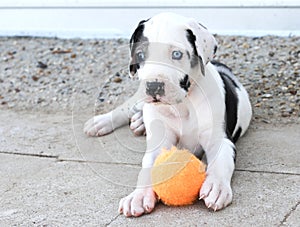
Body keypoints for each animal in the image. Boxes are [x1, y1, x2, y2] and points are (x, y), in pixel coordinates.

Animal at [83, 12, 252, 216]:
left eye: (176, 54)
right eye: (140, 55)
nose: (154, 86)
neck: (182, 105)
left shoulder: (220, 141)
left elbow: (221, 163)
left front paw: (216, 186)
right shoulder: (158, 143)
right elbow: (147, 166)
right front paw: (138, 195)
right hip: (139, 96)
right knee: (126, 107)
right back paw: (103, 121)